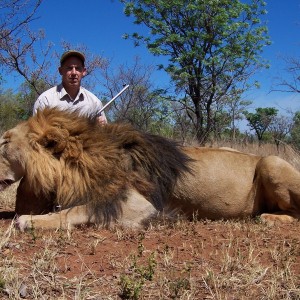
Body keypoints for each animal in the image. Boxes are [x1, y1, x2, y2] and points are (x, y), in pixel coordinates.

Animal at [0, 108, 300, 230]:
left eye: (4, 141)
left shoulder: (138, 204)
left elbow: (78, 210)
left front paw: (29, 220)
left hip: (271, 162)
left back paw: (269, 218)